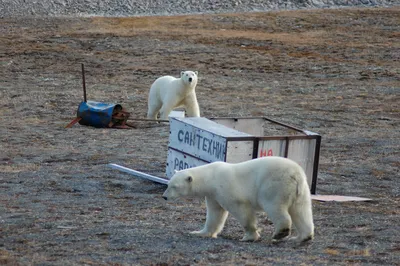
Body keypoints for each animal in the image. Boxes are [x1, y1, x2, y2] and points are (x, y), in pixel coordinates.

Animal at [161, 157, 314, 242]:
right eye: (168, 184)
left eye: (174, 186)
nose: (164, 196)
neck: (211, 177)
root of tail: (295, 174)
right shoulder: (213, 195)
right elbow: (215, 214)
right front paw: (200, 233)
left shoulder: (226, 189)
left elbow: (241, 210)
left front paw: (249, 236)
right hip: (301, 190)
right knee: (301, 210)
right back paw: (303, 236)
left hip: (275, 185)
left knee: (275, 206)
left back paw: (280, 233)